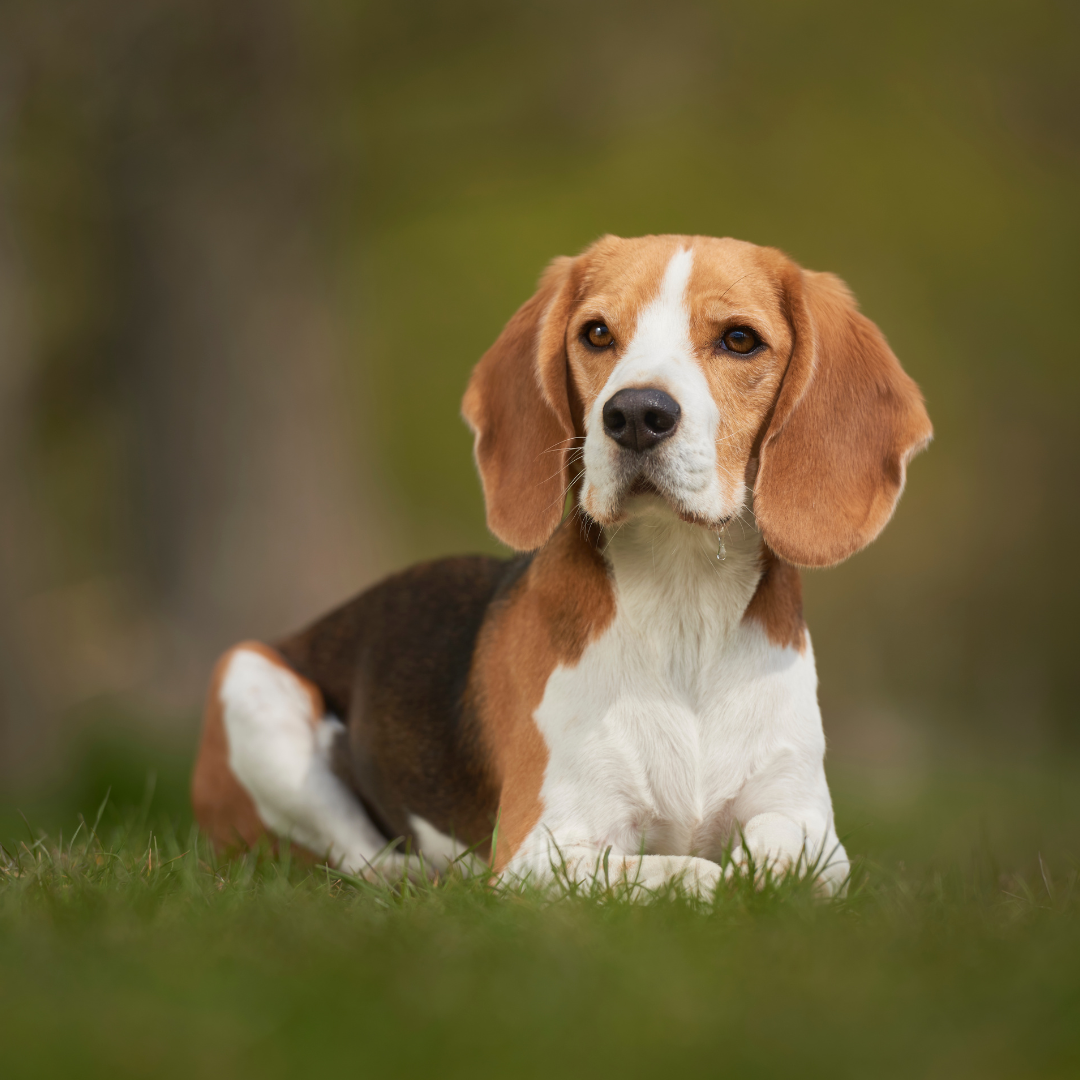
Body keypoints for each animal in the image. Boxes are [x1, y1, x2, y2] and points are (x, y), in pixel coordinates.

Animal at [192, 234, 928, 894]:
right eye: (597, 333)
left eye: (740, 340)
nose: (635, 413)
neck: (683, 598)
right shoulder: (544, 851)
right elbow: (688, 873)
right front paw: (719, 880)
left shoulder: (807, 822)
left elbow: (784, 858)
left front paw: (760, 871)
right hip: (249, 682)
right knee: (355, 859)